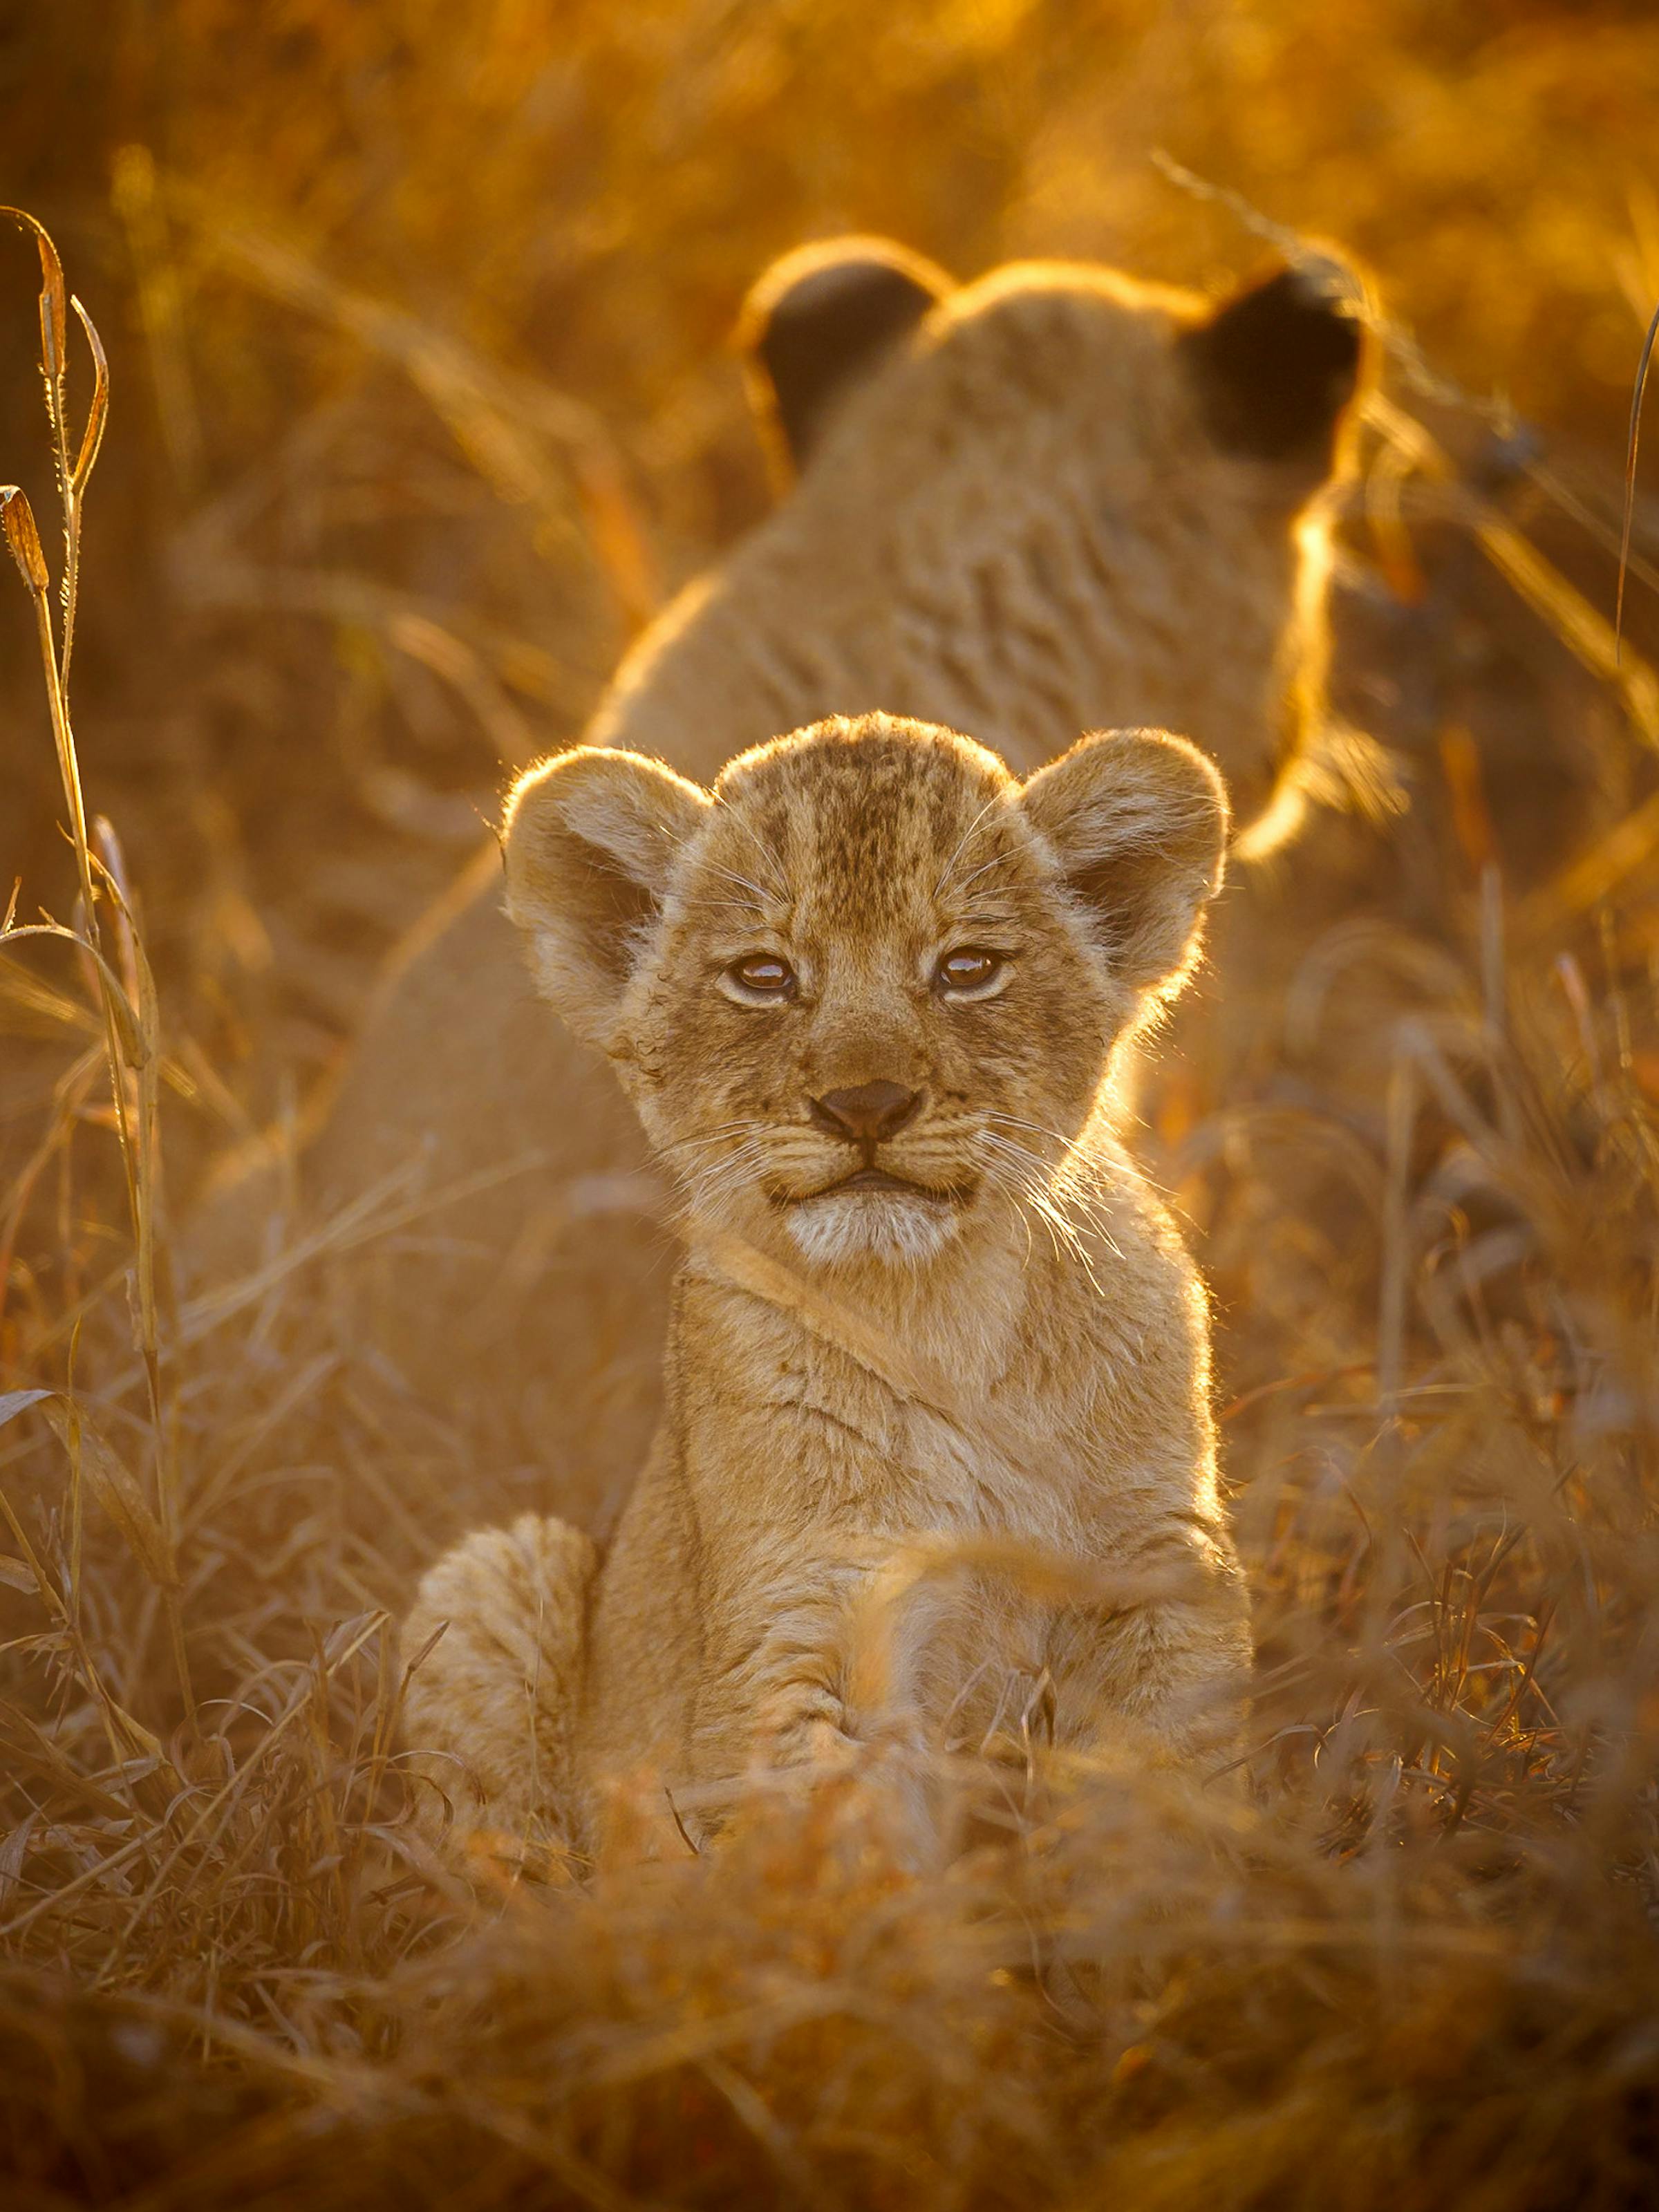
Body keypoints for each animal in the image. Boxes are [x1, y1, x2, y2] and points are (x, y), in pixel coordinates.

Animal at [400, 712, 1251, 1862]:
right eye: (763, 976)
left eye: (967, 967)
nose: (866, 1103)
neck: (941, 1317)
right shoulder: (795, 1623)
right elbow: (840, 1850)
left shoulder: (1160, 1568)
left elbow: (1173, 1790)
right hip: (496, 1573)